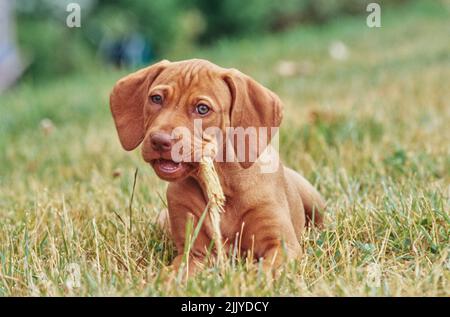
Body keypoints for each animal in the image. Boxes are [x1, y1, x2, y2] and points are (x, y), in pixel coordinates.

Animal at [110, 58, 326, 272]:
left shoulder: (281, 245)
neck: (224, 182)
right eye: (156, 99)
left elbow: (262, 272)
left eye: (202, 109)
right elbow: (171, 275)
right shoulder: (195, 253)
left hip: (313, 199)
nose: (160, 141)